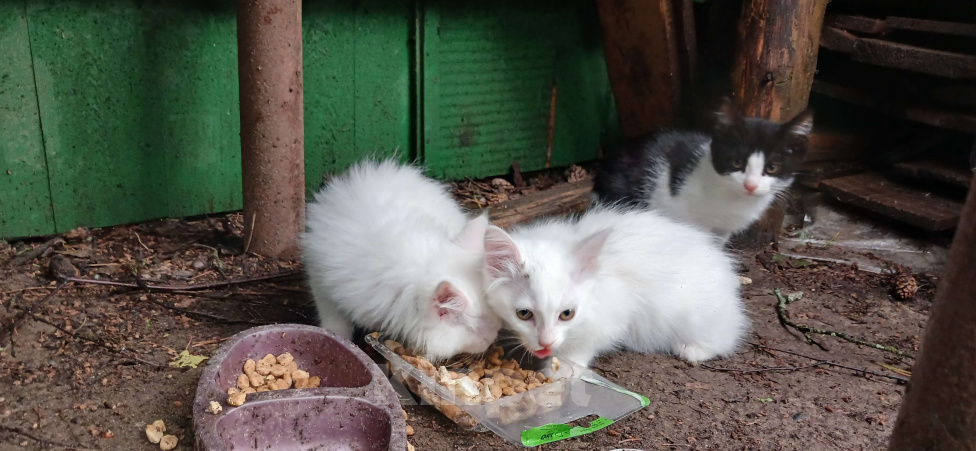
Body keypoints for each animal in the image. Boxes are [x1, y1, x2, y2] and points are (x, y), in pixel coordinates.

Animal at [486, 208, 748, 368]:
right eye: (524, 314)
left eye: (567, 314)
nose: (546, 342)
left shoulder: (612, 318)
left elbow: (580, 349)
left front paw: (560, 374)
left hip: (697, 316)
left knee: (726, 337)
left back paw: (691, 350)